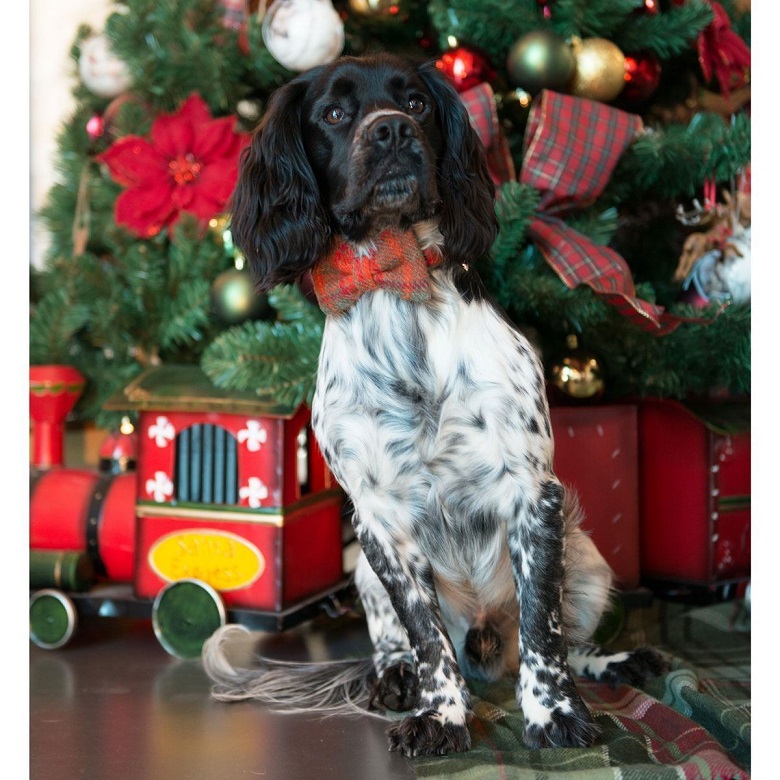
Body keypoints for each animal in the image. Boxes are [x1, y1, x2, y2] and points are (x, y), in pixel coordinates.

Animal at [201, 53, 664, 756]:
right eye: (333, 113)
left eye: (416, 102)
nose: (392, 130)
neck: (397, 284)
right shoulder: (381, 524)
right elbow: (426, 638)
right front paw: (441, 716)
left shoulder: (534, 496)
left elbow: (544, 627)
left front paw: (553, 712)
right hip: (364, 575)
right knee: (399, 643)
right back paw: (393, 679)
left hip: (588, 556)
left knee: (565, 636)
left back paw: (613, 661)